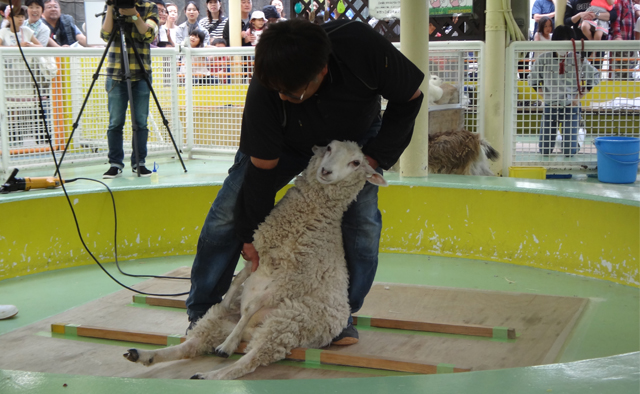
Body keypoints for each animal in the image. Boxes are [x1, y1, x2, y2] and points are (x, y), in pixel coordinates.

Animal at [123, 140, 388, 380]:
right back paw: (145, 355)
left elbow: (251, 306)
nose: (326, 171)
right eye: (330, 148)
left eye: (356, 162)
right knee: (191, 346)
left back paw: (213, 370)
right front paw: (225, 302)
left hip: (285, 323)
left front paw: (228, 345)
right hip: (230, 323)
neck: (306, 222)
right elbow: (236, 280)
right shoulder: (258, 255)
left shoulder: (292, 280)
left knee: (248, 361)